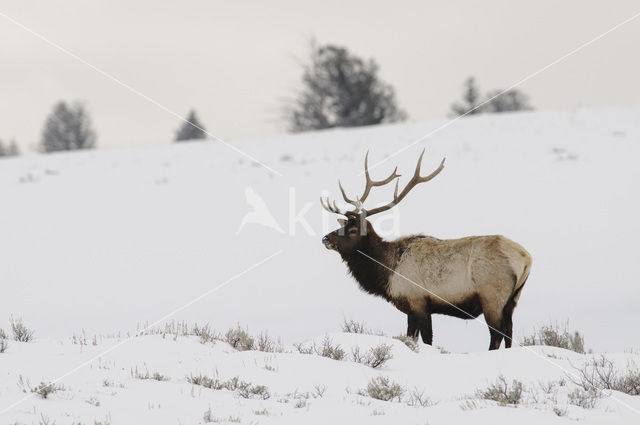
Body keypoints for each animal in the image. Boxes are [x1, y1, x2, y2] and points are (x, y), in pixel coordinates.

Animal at [322, 151, 532, 350]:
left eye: (352, 229)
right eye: (342, 225)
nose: (325, 238)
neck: (387, 272)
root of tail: (526, 258)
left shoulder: (418, 301)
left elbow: (427, 340)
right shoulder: (411, 308)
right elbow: (411, 337)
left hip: (492, 296)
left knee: (496, 335)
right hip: (512, 300)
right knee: (509, 333)